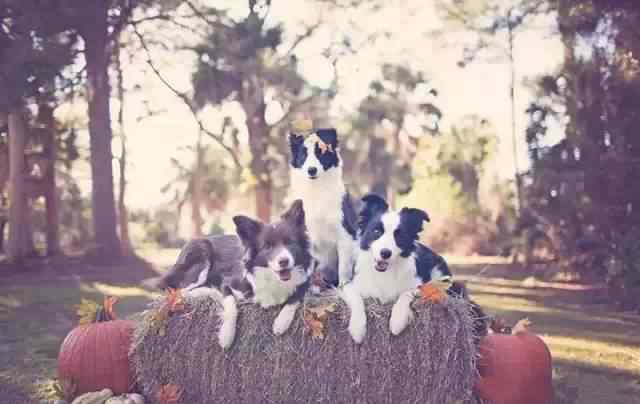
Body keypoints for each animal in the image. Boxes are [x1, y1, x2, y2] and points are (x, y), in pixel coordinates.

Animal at [288, 128, 358, 288]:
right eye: (303, 155)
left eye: (321, 153)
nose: (311, 170)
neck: (317, 190)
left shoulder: (345, 234)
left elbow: (344, 267)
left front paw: (343, 285)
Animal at [342, 194, 452, 342]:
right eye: (376, 231)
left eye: (399, 235)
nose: (385, 253)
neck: (384, 273)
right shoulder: (348, 284)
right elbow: (356, 298)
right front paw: (357, 328)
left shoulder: (418, 285)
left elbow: (405, 294)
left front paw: (397, 321)